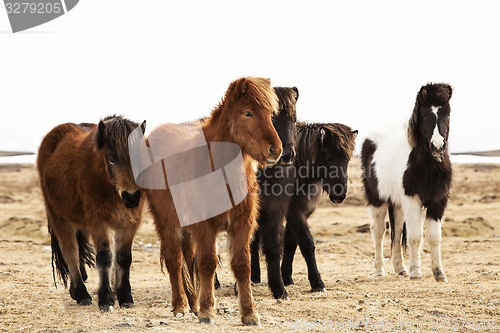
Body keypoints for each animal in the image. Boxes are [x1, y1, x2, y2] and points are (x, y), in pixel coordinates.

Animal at [36, 115, 146, 310]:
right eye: (111, 159)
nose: (131, 197)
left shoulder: (128, 223)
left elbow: (123, 258)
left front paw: (125, 297)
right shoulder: (99, 222)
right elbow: (104, 257)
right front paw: (106, 300)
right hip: (59, 217)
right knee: (70, 251)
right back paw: (82, 294)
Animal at [145, 77, 284, 324]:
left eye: (270, 114)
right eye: (248, 113)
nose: (275, 150)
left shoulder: (241, 225)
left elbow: (242, 265)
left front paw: (249, 313)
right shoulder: (205, 227)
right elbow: (207, 264)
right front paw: (207, 311)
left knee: (188, 259)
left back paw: (192, 305)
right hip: (165, 222)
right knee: (174, 261)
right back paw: (180, 306)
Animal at [360, 83, 454, 280]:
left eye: (447, 113)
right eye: (424, 115)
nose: (437, 146)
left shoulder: (438, 202)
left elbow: (434, 237)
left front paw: (439, 273)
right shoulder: (412, 200)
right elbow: (415, 236)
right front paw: (416, 272)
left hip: (397, 205)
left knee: (395, 233)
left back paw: (400, 268)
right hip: (377, 201)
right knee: (378, 232)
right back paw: (379, 270)